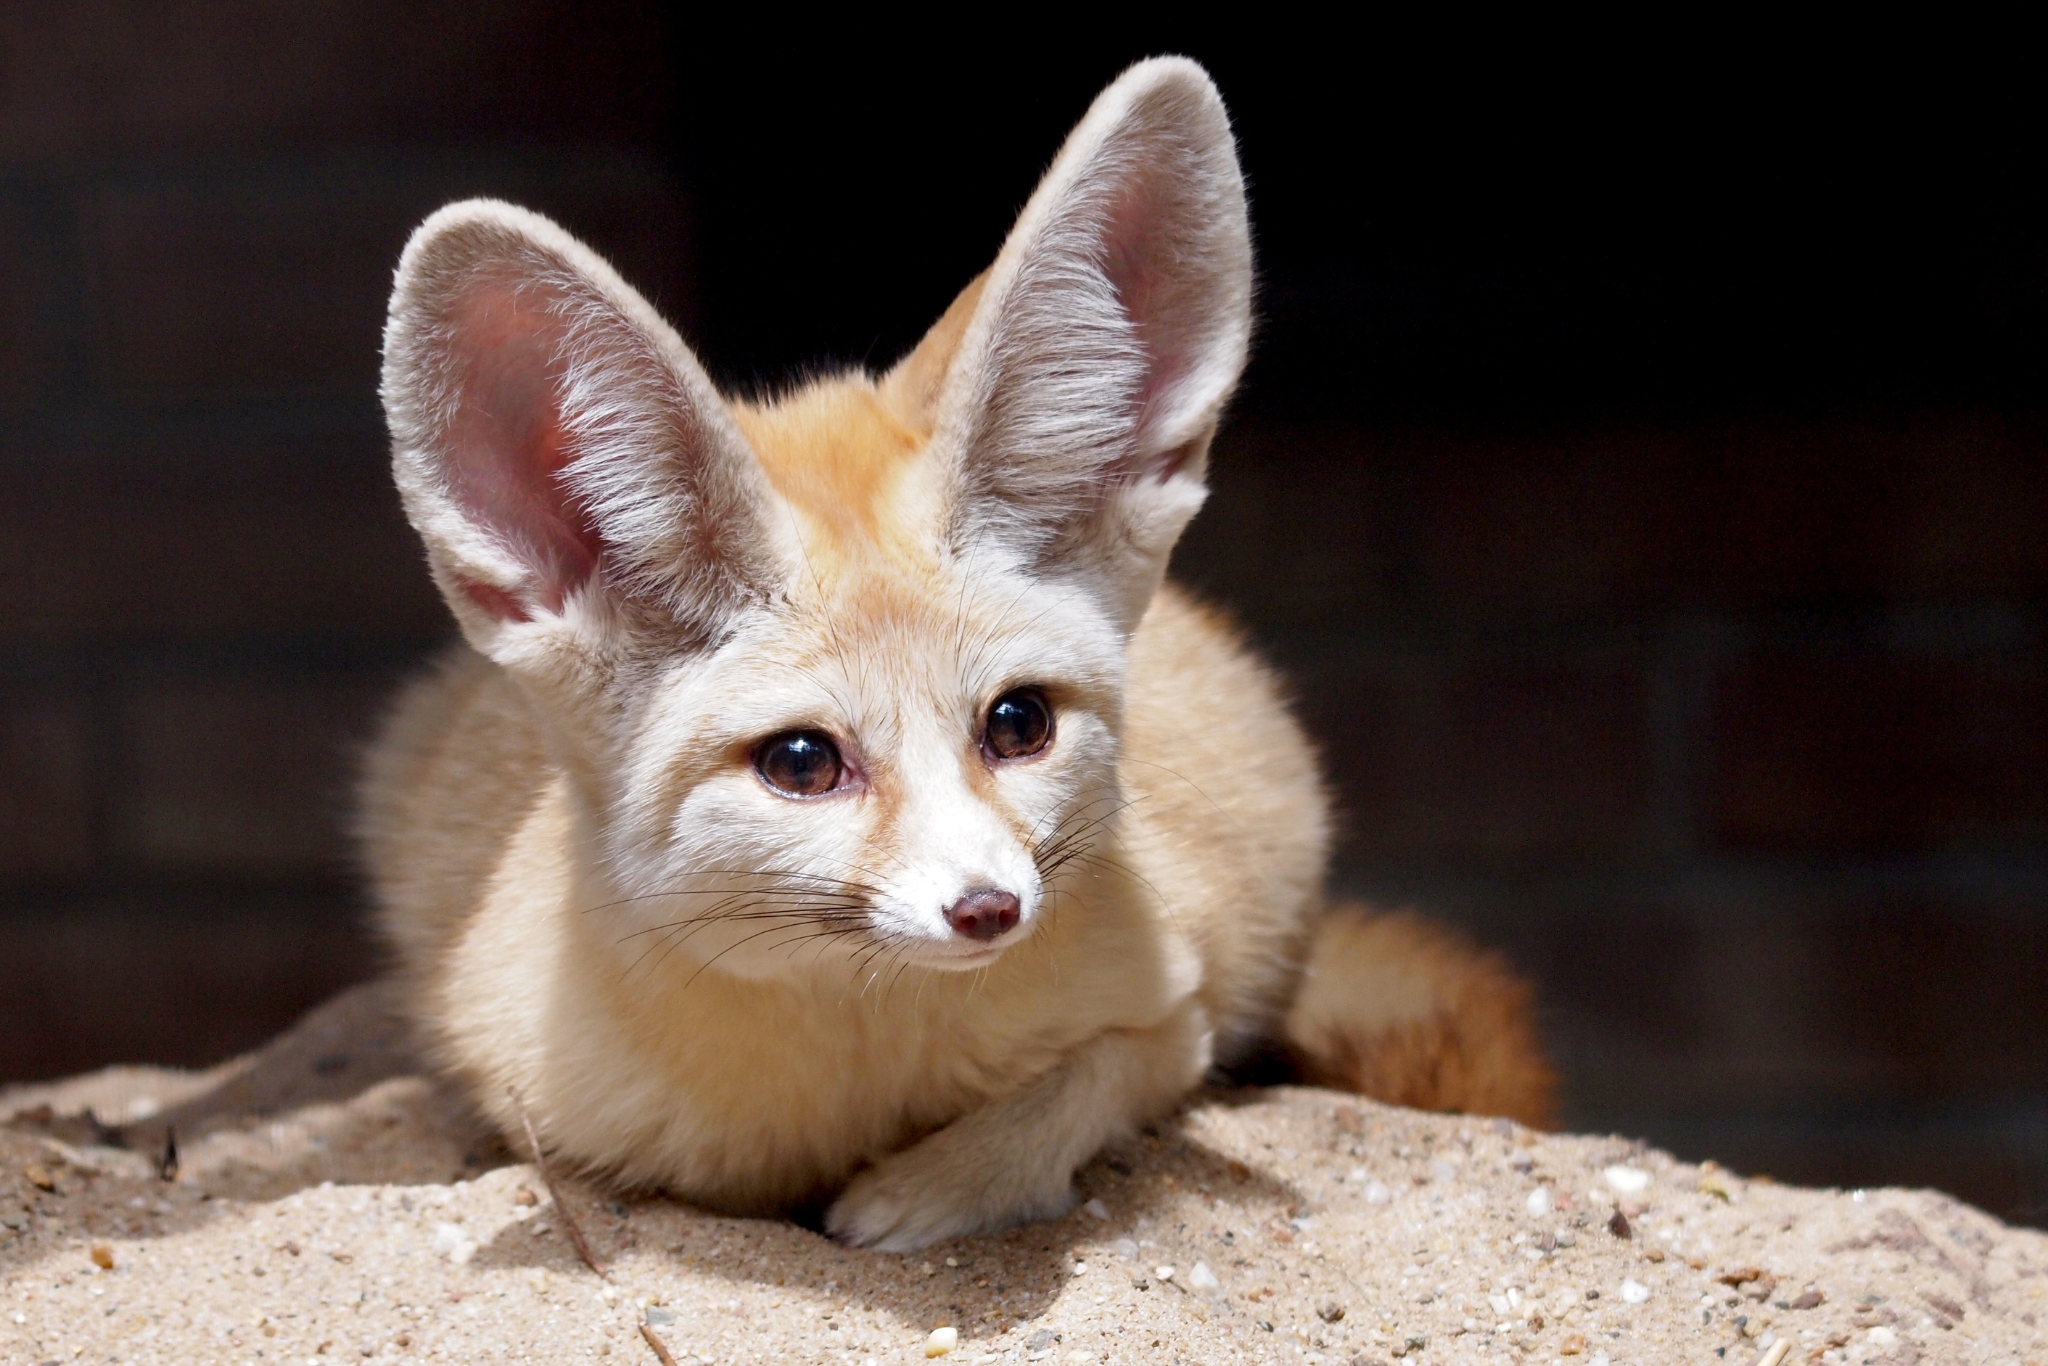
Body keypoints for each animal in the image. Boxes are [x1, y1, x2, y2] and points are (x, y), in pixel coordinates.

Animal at [360, 57, 1552, 1252]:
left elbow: (1077, 1087)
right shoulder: (543, 1099)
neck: (866, 1067)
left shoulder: (1177, 1009)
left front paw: (923, 1191)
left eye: (1018, 724)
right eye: (801, 763)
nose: (989, 909)